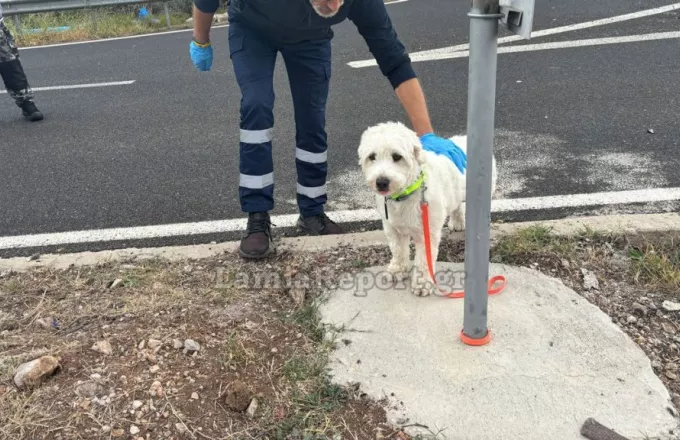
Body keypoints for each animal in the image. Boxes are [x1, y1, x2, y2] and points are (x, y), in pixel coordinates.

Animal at [358, 122, 496, 298]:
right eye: (372, 156)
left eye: (397, 156)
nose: (381, 182)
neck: (407, 192)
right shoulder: (392, 228)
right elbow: (398, 250)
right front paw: (397, 270)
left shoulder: (427, 232)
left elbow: (424, 260)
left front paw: (422, 283)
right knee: (457, 204)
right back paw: (458, 221)